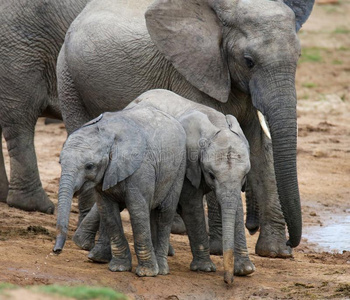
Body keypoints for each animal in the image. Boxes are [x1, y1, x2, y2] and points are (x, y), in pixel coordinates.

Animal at [52, 106, 187, 276]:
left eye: (89, 166)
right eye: (60, 162)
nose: (56, 251)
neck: (109, 135)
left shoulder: (141, 169)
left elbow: (137, 210)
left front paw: (146, 273)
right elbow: (108, 212)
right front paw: (119, 268)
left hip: (179, 167)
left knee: (165, 212)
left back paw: (161, 270)